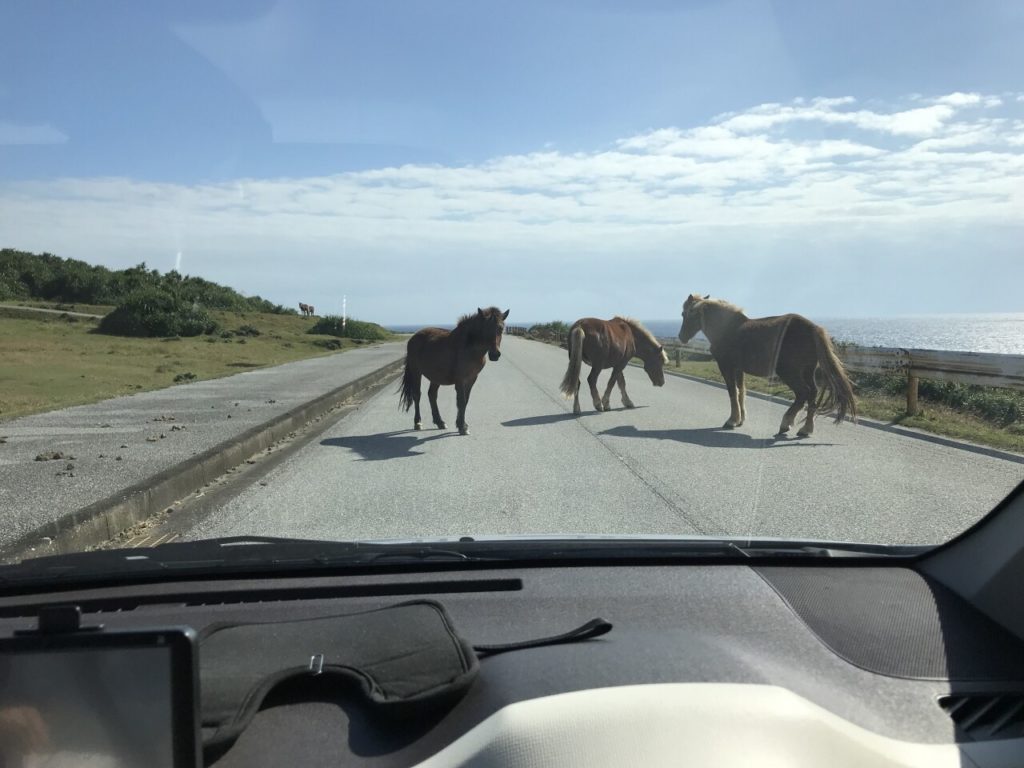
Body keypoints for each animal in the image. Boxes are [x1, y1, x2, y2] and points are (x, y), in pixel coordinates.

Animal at [399, 309, 512, 438]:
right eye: (485, 328)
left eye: (501, 328)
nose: (495, 354)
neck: (470, 347)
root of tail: (413, 338)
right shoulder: (460, 380)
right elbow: (461, 401)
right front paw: (462, 427)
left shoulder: (472, 379)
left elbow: (465, 401)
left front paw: (461, 424)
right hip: (416, 372)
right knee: (417, 395)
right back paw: (418, 422)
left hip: (435, 377)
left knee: (432, 395)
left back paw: (440, 422)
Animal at [679, 294, 856, 438]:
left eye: (684, 314)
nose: (681, 337)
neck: (727, 328)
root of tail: (813, 328)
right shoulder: (739, 369)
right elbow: (741, 392)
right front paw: (740, 419)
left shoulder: (726, 366)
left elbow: (732, 392)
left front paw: (732, 420)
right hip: (807, 371)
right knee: (812, 394)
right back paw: (806, 429)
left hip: (789, 372)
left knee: (802, 393)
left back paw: (786, 423)